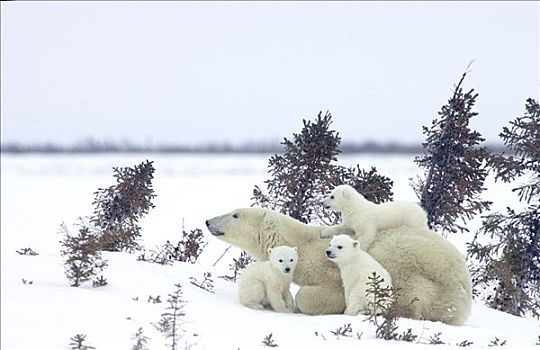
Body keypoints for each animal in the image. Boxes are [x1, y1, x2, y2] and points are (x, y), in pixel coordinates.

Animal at [207, 206, 472, 324]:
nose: (209, 221)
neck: (304, 240)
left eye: (235, 214)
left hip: (418, 279)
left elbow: (322, 292)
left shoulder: (329, 267)